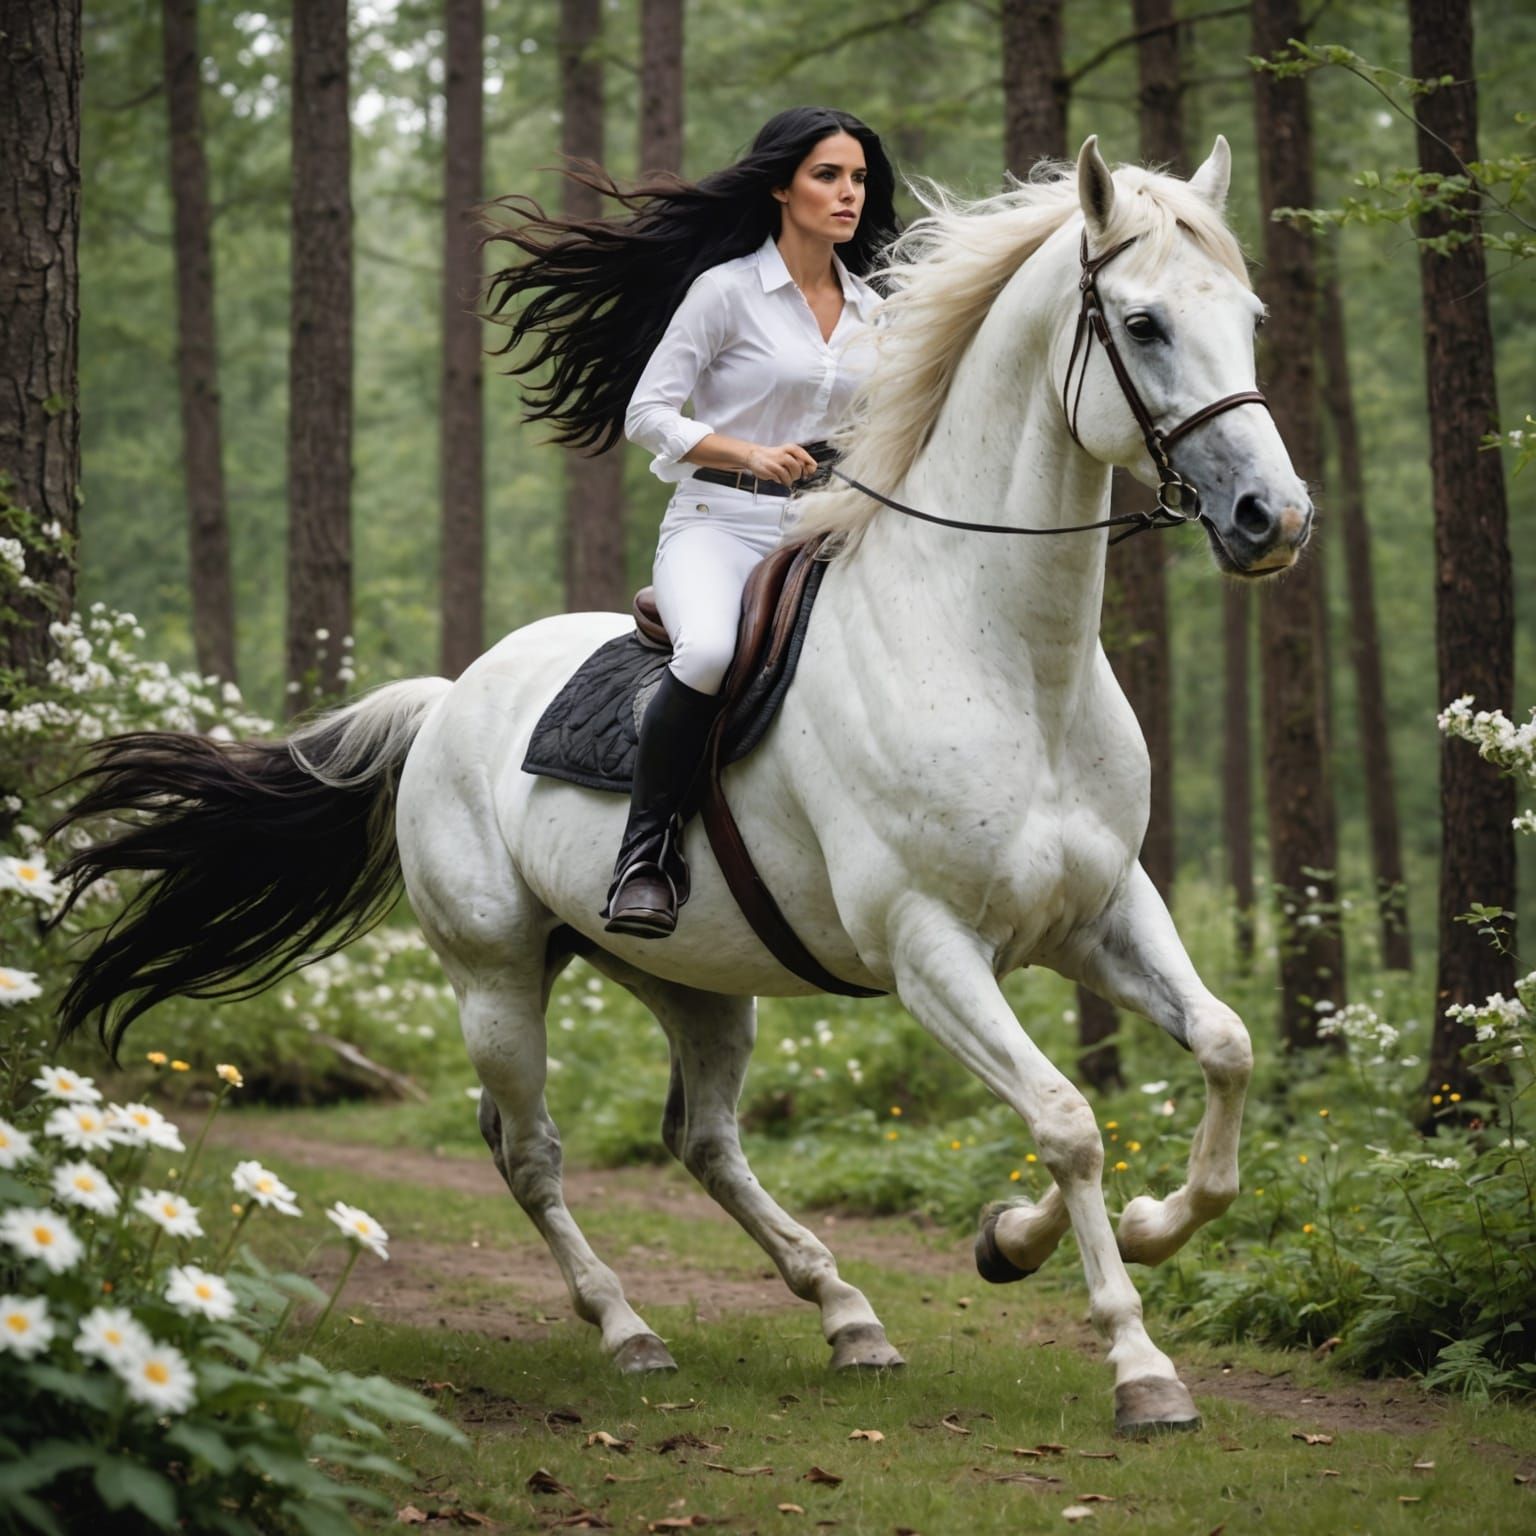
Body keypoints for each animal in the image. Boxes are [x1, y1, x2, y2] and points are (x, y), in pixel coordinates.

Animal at [55, 137, 1311, 1437]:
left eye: (1250, 317)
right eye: (1144, 323)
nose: (1273, 519)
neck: (1006, 658)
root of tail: (449, 699)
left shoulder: (1101, 913)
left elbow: (1223, 1049)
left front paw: (1055, 1235)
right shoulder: (931, 949)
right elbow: (1064, 1121)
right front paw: (1136, 1360)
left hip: (695, 981)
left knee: (699, 1138)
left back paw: (846, 1314)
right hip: (497, 977)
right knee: (531, 1151)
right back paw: (629, 1329)